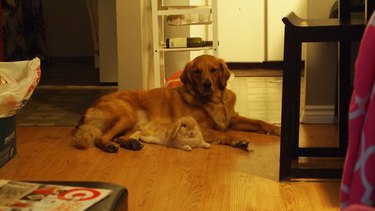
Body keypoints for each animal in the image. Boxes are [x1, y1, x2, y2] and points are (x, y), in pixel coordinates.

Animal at [72, 55, 280, 152]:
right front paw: (238, 140)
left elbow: (260, 122)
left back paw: (131, 143)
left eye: (213, 70)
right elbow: (224, 134)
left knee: (119, 137)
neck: (214, 101)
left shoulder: (233, 119)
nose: (207, 84)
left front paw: (276, 129)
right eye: (196, 71)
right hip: (126, 116)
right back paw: (111, 146)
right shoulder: (200, 127)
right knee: (102, 138)